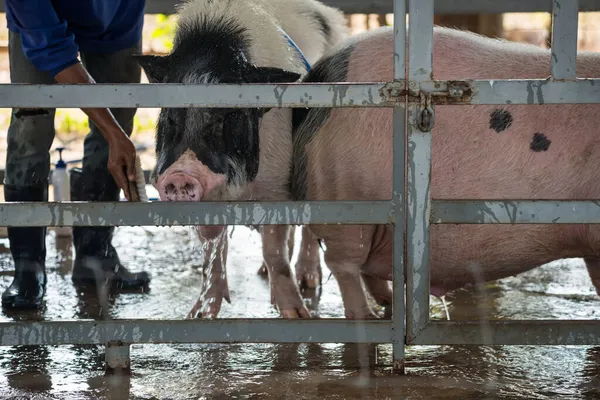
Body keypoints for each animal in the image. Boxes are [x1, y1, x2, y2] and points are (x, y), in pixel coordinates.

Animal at [132, 0, 346, 318]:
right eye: (170, 118)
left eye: (227, 116)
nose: (181, 175)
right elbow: (213, 252)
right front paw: (199, 316)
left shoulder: (276, 183)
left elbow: (275, 252)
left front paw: (297, 315)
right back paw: (261, 273)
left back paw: (307, 282)